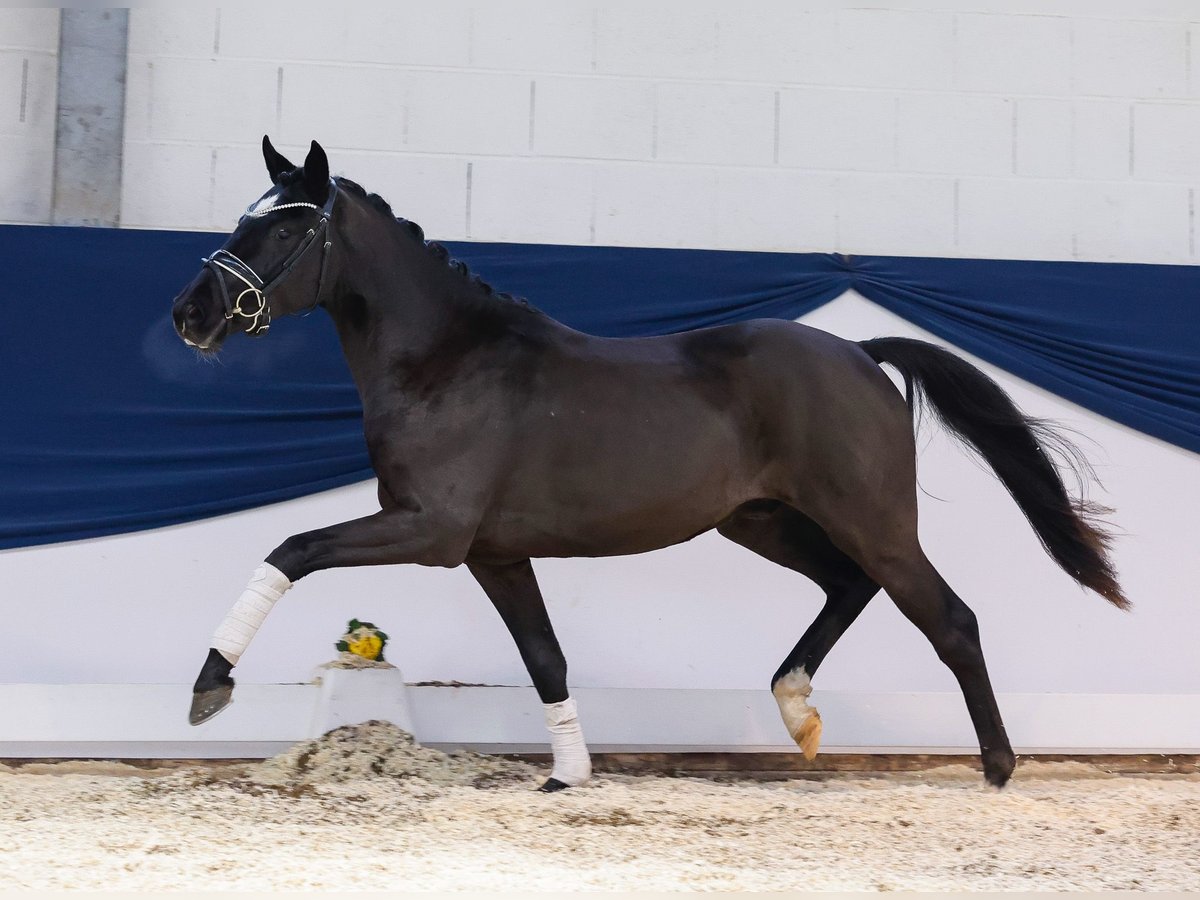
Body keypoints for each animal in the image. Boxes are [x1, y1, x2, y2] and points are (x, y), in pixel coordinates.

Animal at [169, 137, 1123, 792]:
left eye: (287, 224)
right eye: (244, 216)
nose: (192, 312)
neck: (447, 361)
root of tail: (859, 353)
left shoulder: (430, 531)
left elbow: (291, 550)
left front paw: (209, 688)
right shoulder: (493, 553)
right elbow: (546, 657)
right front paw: (568, 775)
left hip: (872, 520)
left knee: (949, 619)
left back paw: (997, 768)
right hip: (762, 522)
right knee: (848, 587)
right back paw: (798, 713)